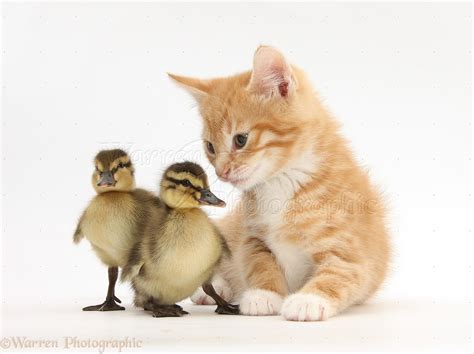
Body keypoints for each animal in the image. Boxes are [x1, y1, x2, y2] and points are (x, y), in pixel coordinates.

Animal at [168, 45, 390, 320]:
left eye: (240, 139)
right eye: (210, 147)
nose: (222, 172)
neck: (282, 181)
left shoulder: (353, 252)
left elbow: (338, 274)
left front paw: (308, 300)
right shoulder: (252, 239)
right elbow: (258, 263)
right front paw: (264, 295)